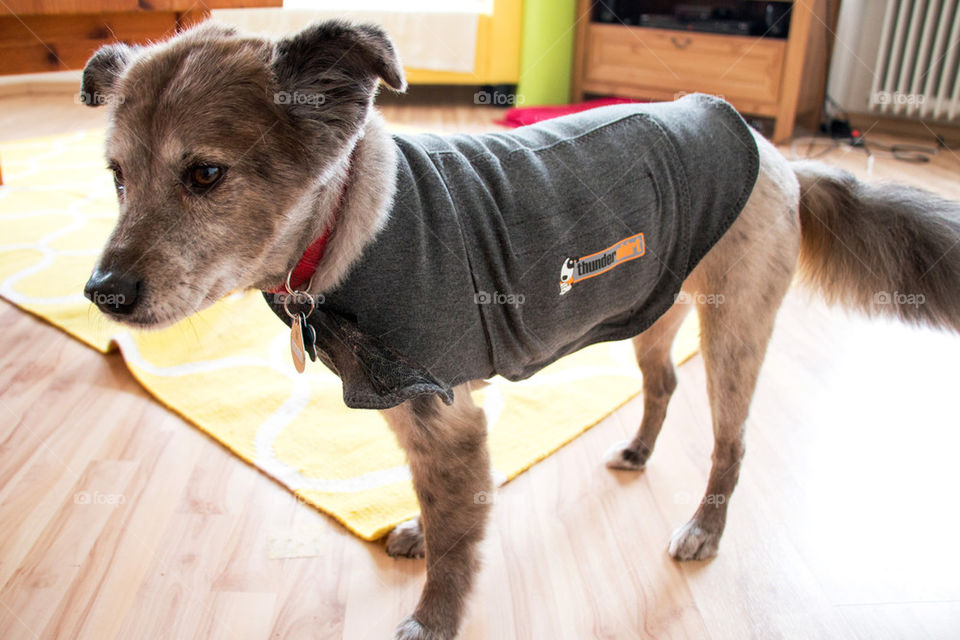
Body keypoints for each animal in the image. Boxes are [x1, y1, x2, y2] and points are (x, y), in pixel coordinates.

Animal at [80, 20, 960, 640]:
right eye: (116, 175)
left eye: (205, 174)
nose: (101, 293)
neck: (351, 224)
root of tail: (776, 156)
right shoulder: (414, 406)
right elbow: (433, 503)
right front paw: (415, 529)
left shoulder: (444, 414)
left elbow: (457, 535)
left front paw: (432, 619)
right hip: (649, 308)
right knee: (663, 382)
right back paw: (638, 451)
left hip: (735, 330)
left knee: (731, 443)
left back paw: (705, 529)